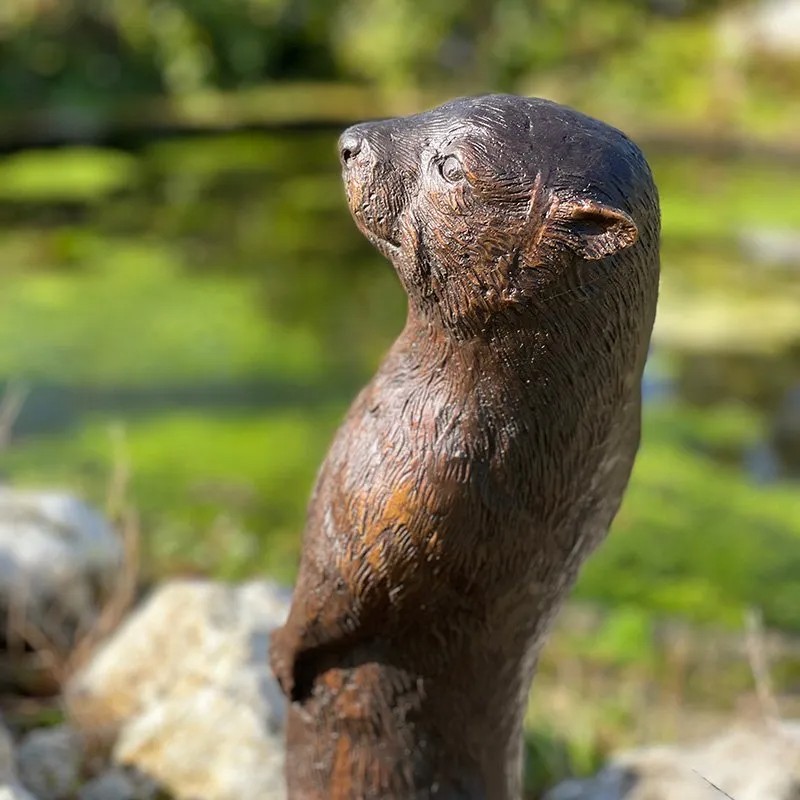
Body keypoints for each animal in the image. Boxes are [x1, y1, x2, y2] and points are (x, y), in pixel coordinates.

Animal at [270, 94, 660, 799]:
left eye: (450, 166)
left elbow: (342, 595)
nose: (348, 141)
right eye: (436, 106)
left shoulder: (416, 488)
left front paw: (282, 655)